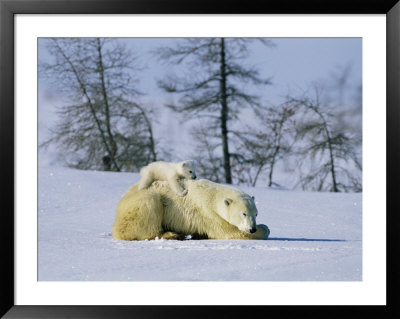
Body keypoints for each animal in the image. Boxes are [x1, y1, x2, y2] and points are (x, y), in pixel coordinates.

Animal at [111, 179, 270, 241]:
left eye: (256, 214)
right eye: (244, 213)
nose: (252, 229)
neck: (212, 196)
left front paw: (198, 235)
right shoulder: (208, 213)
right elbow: (229, 231)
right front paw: (264, 229)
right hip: (141, 203)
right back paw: (172, 234)